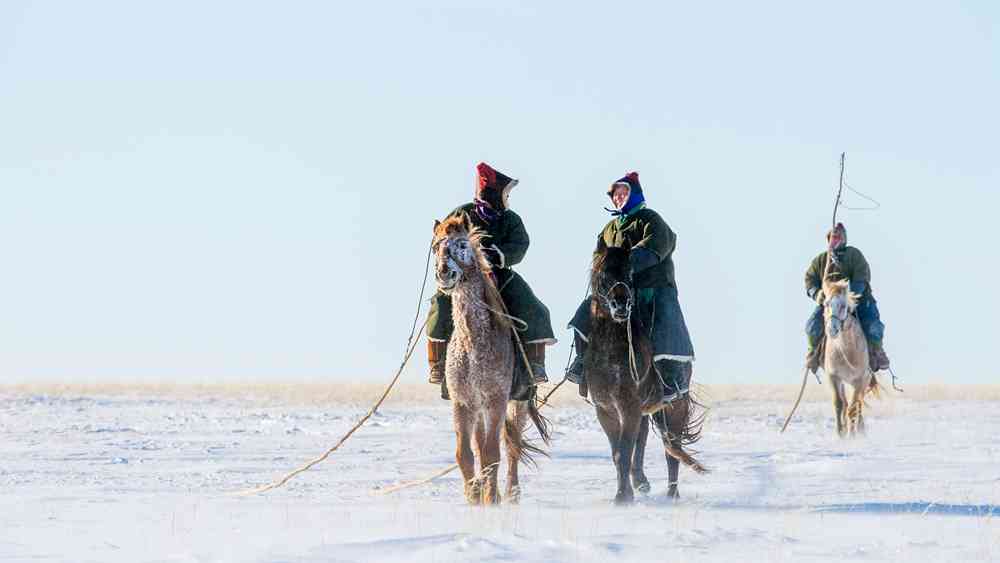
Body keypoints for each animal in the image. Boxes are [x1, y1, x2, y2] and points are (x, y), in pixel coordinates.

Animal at [432, 216, 552, 506]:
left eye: (462, 245)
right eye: (435, 247)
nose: (444, 274)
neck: (474, 344)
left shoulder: (497, 400)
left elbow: (492, 453)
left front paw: (490, 499)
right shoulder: (463, 402)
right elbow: (465, 453)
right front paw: (474, 495)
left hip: (517, 402)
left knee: (512, 444)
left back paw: (511, 493)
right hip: (479, 408)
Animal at [584, 245, 708, 504]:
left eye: (630, 273)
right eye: (603, 274)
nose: (621, 306)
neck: (611, 352)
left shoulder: (628, 408)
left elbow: (624, 452)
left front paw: (622, 498)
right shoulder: (606, 410)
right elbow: (618, 453)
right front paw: (627, 493)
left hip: (674, 406)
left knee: (672, 448)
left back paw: (672, 493)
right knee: (644, 440)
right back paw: (641, 482)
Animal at [820, 280, 876, 438]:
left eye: (843, 306)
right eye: (826, 303)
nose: (832, 329)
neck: (846, 351)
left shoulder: (859, 380)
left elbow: (853, 408)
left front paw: (852, 435)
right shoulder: (834, 377)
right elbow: (839, 404)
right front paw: (840, 433)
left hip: (864, 381)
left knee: (859, 404)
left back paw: (860, 429)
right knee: (846, 403)